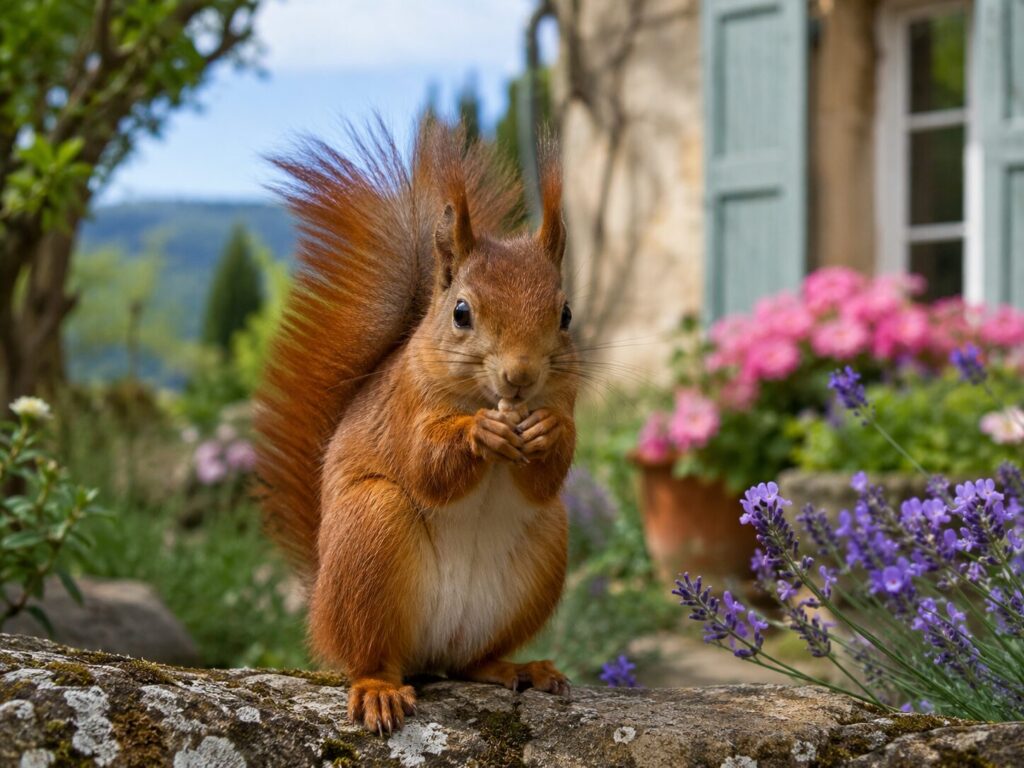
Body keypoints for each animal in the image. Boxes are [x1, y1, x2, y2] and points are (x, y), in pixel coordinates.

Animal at [254, 121, 578, 734]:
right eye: (461, 313)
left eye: (567, 314)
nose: (520, 376)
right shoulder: (406, 407)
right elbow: (425, 464)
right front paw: (480, 433)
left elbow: (549, 473)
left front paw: (546, 430)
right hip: (370, 533)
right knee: (371, 657)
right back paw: (379, 690)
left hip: (544, 547)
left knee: (470, 661)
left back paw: (518, 667)